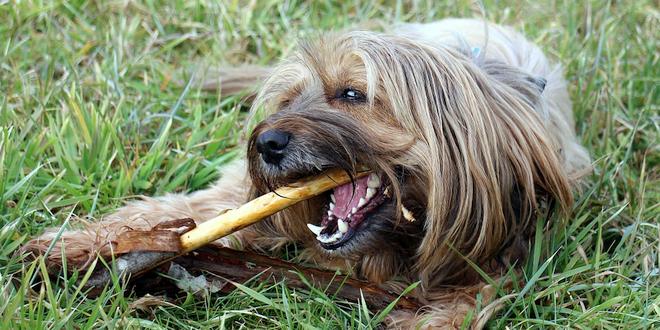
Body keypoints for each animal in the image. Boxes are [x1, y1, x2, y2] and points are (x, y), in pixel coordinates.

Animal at [21, 18, 588, 330]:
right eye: (289, 100)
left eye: (353, 93)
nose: (266, 144)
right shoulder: (238, 197)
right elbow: (184, 209)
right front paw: (83, 245)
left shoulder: (513, 243)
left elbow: (480, 291)